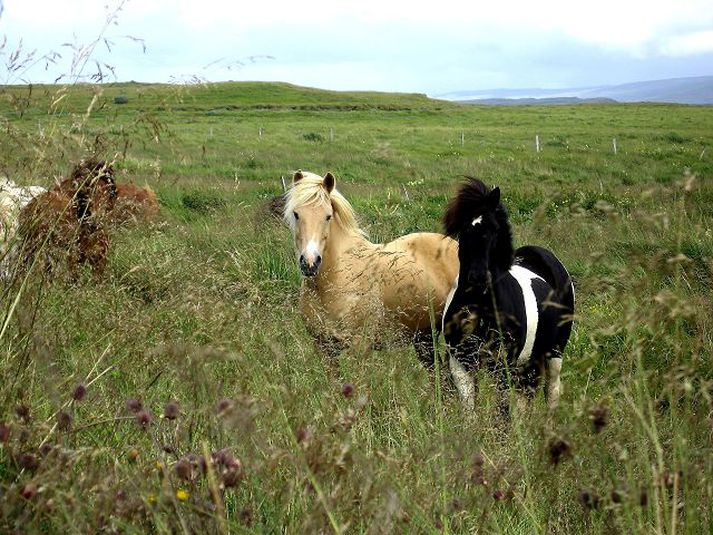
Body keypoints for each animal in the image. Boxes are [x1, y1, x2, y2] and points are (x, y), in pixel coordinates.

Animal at [280, 171, 458, 364]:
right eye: (296, 214)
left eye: (327, 216)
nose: (310, 262)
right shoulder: (324, 348)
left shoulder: (360, 347)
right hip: (424, 337)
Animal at [440, 180, 572, 414]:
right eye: (464, 229)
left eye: (494, 229)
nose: (478, 277)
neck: (481, 306)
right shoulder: (461, 362)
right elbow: (470, 409)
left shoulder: (503, 364)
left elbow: (502, 410)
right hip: (528, 362)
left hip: (554, 353)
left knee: (552, 390)